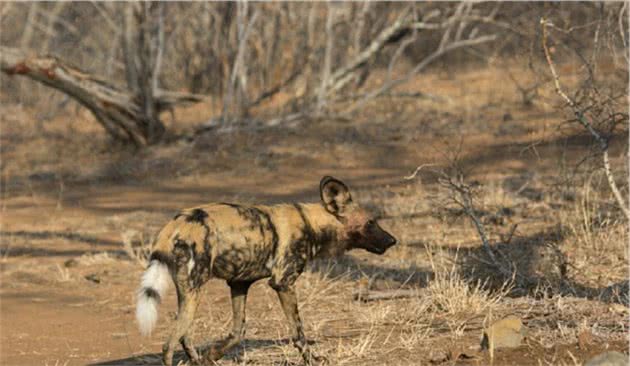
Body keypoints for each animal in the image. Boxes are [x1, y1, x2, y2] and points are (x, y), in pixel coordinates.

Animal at [136, 176, 398, 364]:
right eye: (370, 223)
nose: (393, 240)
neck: (311, 223)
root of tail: (175, 224)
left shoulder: (239, 284)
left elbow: (237, 332)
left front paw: (212, 356)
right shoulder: (284, 283)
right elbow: (298, 333)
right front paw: (313, 359)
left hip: (189, 294)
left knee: (183, 335)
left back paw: (197, 359)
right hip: (193, 292)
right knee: (168, 345)